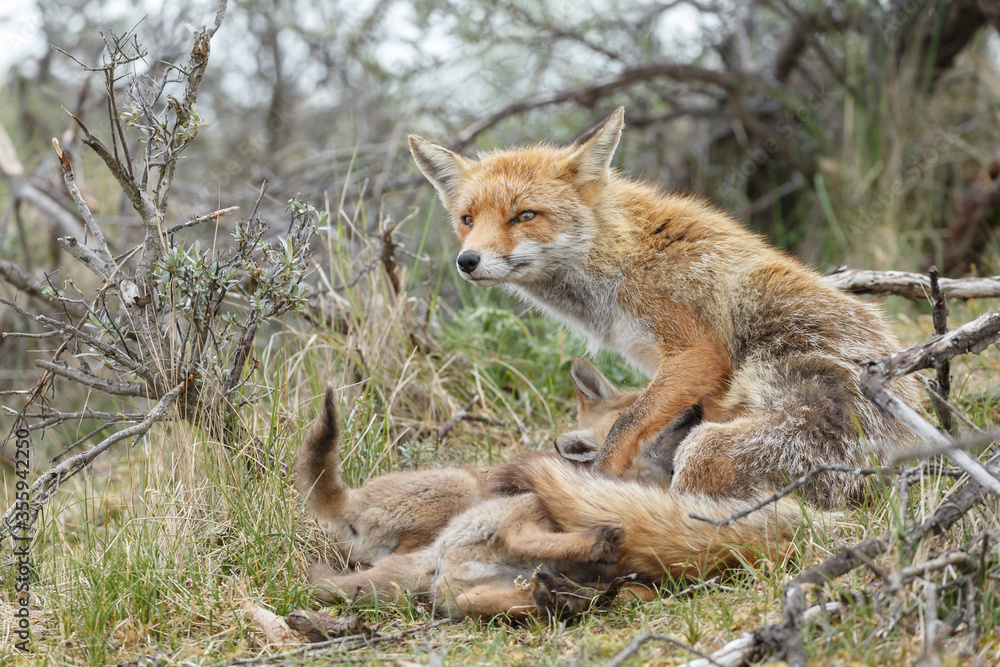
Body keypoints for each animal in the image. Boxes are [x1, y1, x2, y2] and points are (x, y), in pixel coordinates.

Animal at [409, 107, 919, 508]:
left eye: (524, 216)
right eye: (467, 219)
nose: (467, 261)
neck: (621, 261)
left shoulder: (696, 353)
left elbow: (626, 425)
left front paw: (598, 482)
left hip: (707, 448)